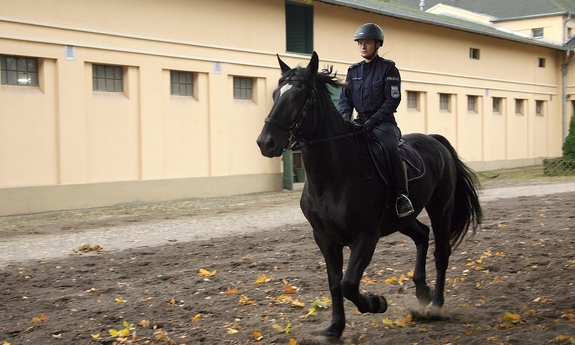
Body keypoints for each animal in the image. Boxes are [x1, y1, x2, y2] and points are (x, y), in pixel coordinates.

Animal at [256, 52, 482, 338]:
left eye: (299, 95)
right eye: (276, 94)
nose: (266, 142)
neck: (333, 177)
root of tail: (434, 140)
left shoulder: (365, 237)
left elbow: (349, 283)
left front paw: (377, 303)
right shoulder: (325, 239)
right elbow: (335, 283)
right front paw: (334, 328)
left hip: (441, 208)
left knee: (441, 253)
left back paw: (435, 306)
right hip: (402, 220)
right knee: (422, 235)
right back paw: (422, 290)